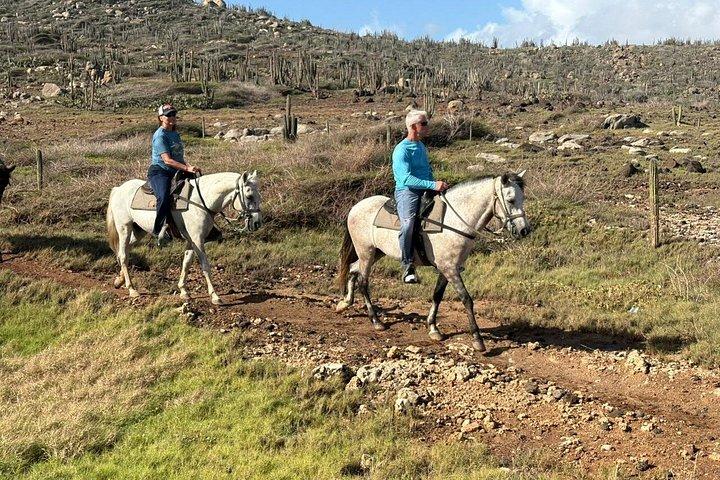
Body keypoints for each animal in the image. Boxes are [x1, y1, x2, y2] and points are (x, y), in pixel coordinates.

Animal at [106, 171, 261, 304]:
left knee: (124, 252)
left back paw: (119, 281)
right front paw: (215, 296)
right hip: (124, 228)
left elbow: (186, 262)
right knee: (124, 255)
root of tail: (118, 189)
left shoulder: (192, 240)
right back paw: (132, 289)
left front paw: (184, 291)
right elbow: (205, 266)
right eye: (249, 196)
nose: (257, 223)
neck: (201, 201)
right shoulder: (197, 239)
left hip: (139, 231)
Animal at [336, 171, 530, 351]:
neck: (452, 221)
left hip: (375, 253)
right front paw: (477, 339)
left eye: (523, 198)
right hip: (366, 252)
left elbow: (437, 295)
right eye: (511, 199)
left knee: (353, 269)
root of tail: (356, 207)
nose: (525, 231)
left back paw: (345, 303)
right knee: (363, 282)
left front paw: (433, 328)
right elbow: (466, 299)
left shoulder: (448, 268)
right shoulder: (450, 269)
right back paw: (376, 320)